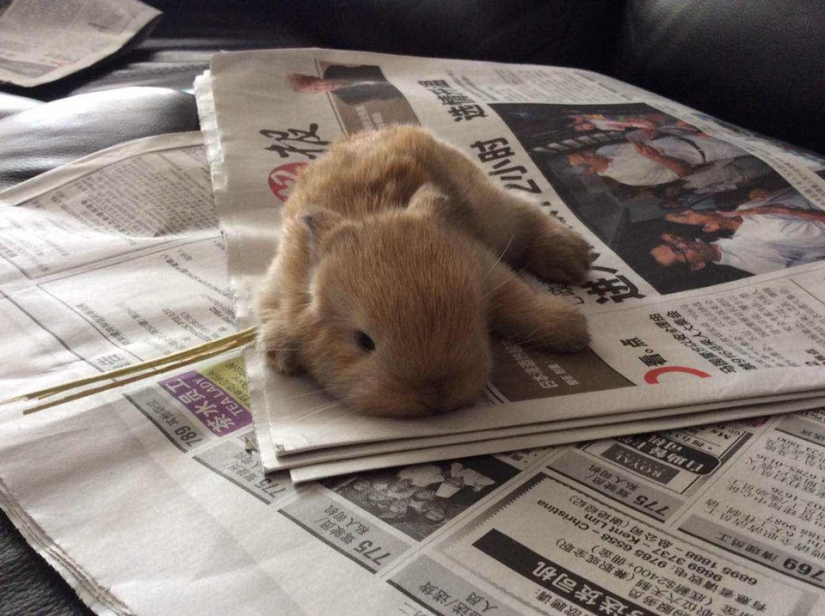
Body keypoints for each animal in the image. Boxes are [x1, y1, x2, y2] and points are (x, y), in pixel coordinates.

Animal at [255, 125, 590, 418]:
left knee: (526, 210)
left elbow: (520, 300)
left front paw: (573, 331)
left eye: (470, 317)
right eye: (364, 342)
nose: (435, 396)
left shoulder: (487, 267)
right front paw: (281, 355)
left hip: (496, 212)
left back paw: (572, 258)